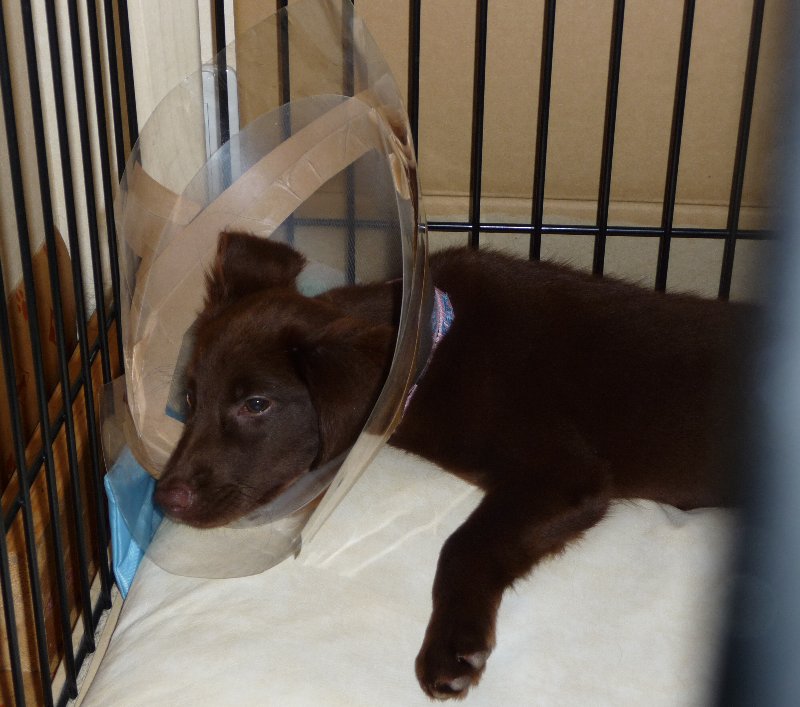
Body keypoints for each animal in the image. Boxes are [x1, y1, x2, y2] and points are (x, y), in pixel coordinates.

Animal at [155, 231, 748, 700]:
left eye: (256, 405)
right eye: (189, 398)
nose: (164, 499)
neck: (436, 346)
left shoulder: (565, 474)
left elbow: (464, 544)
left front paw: (453, 649)